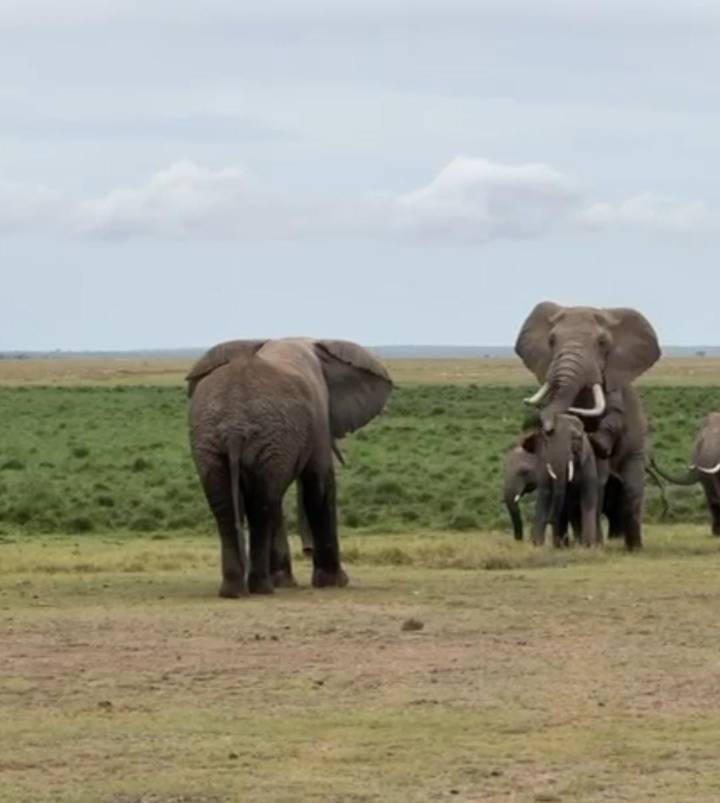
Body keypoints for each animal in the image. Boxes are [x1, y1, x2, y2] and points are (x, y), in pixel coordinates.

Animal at [186, 337, 393, 597]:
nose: (307, 550)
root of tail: (233, 428)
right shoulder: (318, 418)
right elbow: (319, 485)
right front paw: (335, 582)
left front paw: (284, 581)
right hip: (256, 435)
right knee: (261, 505)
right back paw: (262, 588)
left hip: (212, 441)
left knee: (231, 506)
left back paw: (235, 591)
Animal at [519, 414, 603, 547]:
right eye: (546, 440)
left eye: (575, 438)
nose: (549, 520)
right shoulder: (543, 462)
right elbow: (545, 494)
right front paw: (536, 545)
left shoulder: (588, 461)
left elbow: (588, 500)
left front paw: (588, 546)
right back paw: (562, 546)